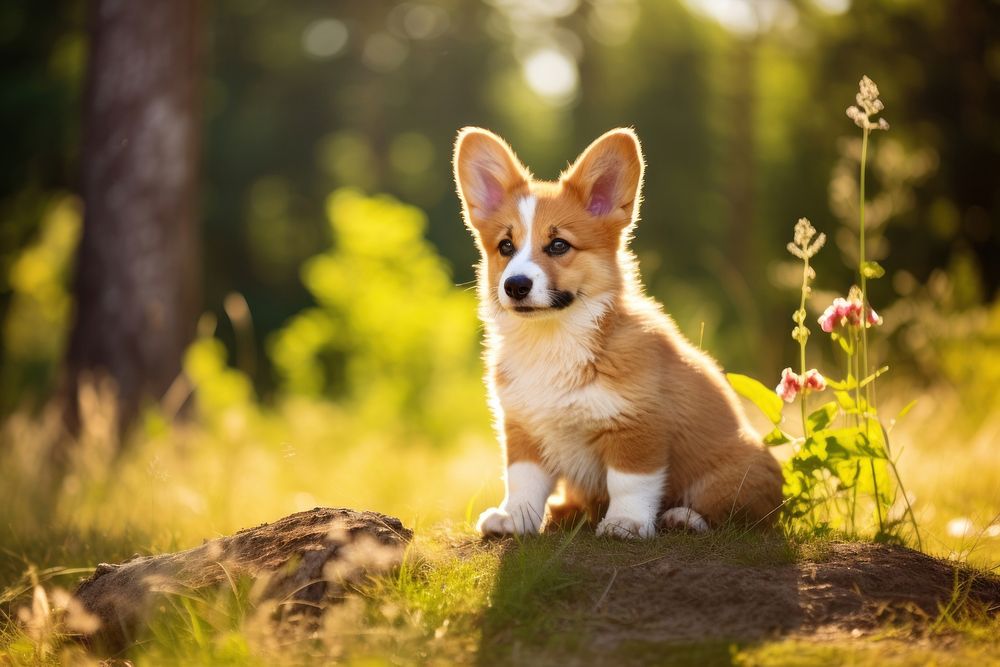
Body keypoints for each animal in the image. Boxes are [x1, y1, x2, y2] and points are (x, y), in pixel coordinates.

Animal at [452, 128, 780, 540]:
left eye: (558, 245)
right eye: (505, 247)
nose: (515, 285)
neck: (554, 339)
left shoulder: (637, 426)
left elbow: (629, 482)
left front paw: (626, 522)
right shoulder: (523, 426)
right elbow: (523, 480)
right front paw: (515, 520)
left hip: (741, 469)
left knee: (736, 512)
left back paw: (684, 518)